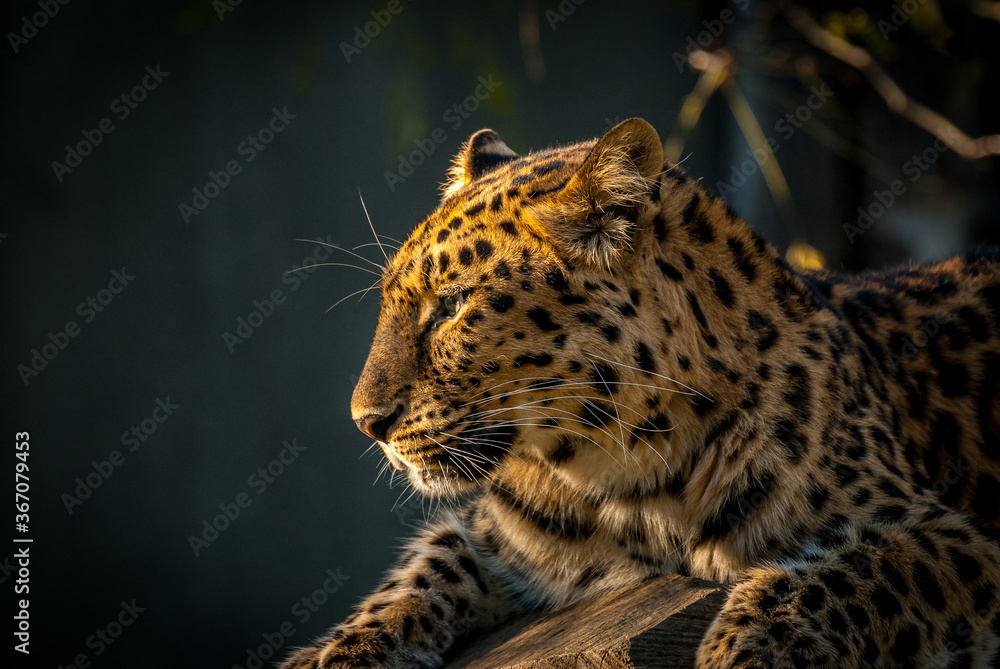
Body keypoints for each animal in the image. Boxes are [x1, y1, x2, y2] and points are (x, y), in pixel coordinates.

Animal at [281, 118, 1000, 668]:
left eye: (453, 306)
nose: (366, 421)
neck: (621, 475)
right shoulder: (490, 536)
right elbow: (415, 575)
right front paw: (334, 654)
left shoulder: (947, 534)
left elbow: (826, 581)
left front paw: (740, 652)